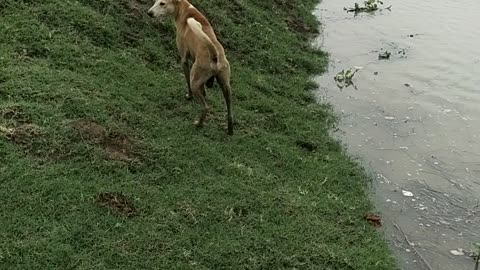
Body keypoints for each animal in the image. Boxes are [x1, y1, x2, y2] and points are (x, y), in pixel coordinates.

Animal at [148, 0, 234, 135]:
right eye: (155, 2)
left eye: (162, 3)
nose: (149, 13)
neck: (186, 10)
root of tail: (214, 55)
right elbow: (203, 89)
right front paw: (204, 92)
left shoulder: (184, 60)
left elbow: (187, 80)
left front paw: (189, 96)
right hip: (226, 86)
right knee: (230, 110)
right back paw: (230, 129)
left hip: (196, 81)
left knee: (205, 107)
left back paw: (199, 124)